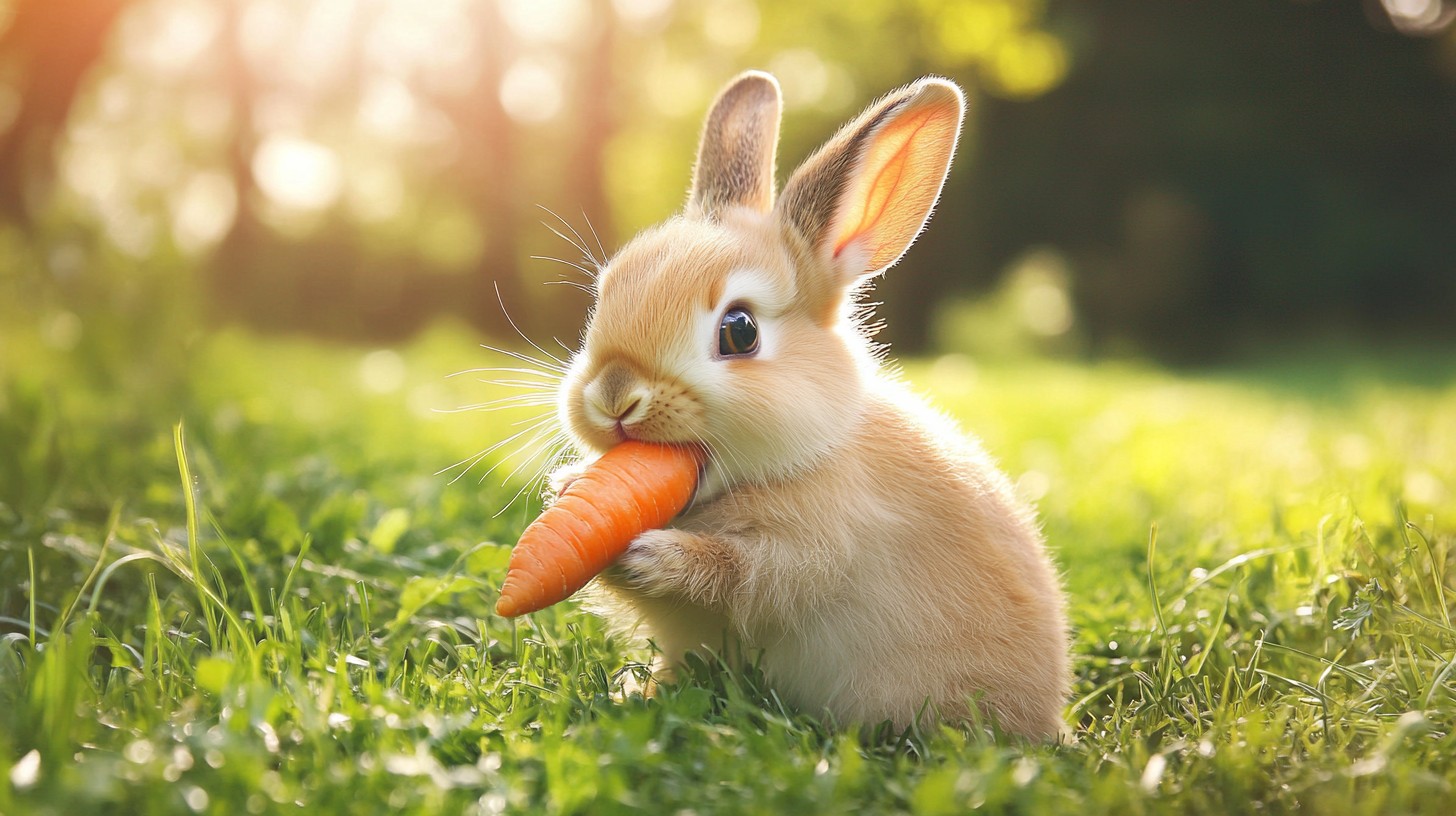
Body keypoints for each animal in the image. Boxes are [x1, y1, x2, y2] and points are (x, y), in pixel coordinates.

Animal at [549, 70, 1071, 740]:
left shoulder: (811, 549)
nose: (614, 395)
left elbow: (736, 575)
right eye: (605, 291)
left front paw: (646, 554)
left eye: (740, 331)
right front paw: (566, 491)